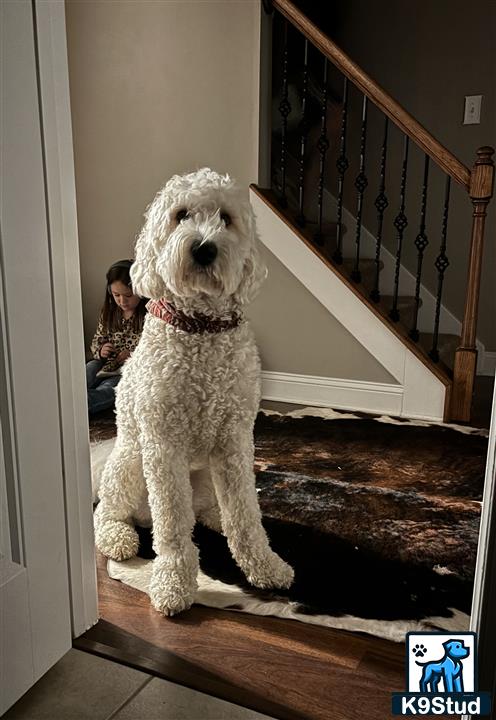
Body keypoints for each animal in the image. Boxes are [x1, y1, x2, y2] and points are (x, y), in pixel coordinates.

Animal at [93, 167, 294, 612]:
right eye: (181, 215)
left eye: (226, 219)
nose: (204, 249)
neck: (201, 329)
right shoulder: (162, 445)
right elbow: (171, 526)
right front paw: (173, 583)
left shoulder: (236, 440)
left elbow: (245, 515)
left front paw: (264, 564)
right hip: (130, 464)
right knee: (110, 513)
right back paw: (119, 537)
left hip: (206, 474)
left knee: (215, 509)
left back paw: (217, 518)